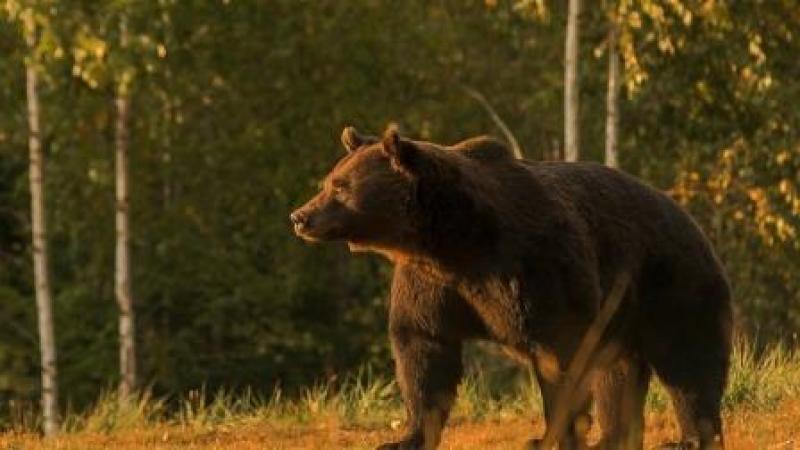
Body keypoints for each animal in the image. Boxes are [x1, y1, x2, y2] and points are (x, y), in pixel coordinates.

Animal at [292, 126, 732, 450]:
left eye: (341, 186)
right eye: (329, 181)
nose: (300, 216)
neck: (454, 243)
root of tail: (685, 215)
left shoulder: (533, 266)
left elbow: (561, 355)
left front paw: (552, 435)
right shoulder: (431, 285)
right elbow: (423, 351)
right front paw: (405, 437)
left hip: (671, 282)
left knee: (688, 359)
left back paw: (692, 436)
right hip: (622, 313)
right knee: (619, 373)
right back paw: (614, 438)